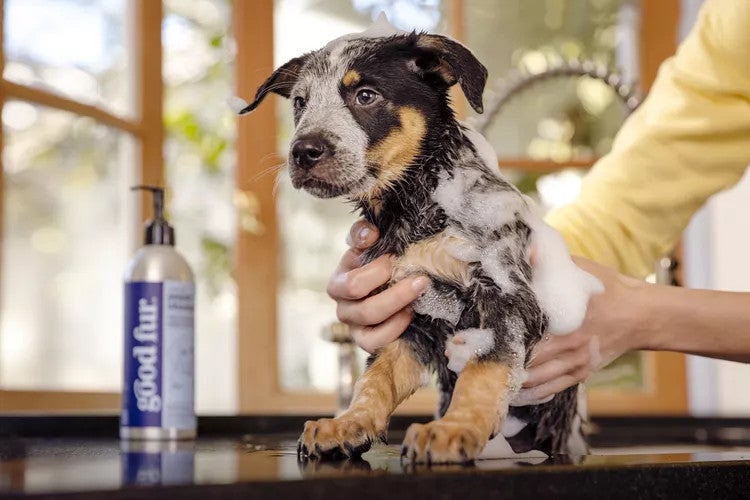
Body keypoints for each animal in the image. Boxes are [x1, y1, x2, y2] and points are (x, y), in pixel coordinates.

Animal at [236, 16, 604, 464]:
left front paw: (455, 428)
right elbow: (377, 378)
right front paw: (348, 423)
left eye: (365, 95)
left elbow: (485, 367)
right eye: (300, 103)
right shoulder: (411, 316)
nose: (302, 152)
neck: (412, 210)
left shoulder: (508, 295)